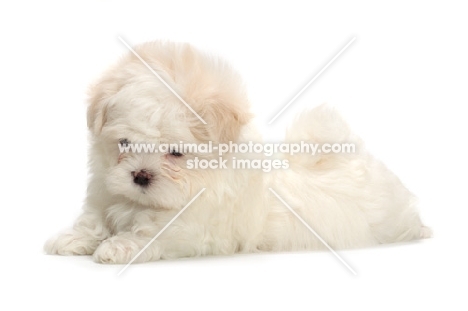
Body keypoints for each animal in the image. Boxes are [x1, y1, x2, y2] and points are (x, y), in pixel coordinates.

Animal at [44, 41, 432, 264]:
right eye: (124, 144)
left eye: (176, 153)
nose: (139, 175)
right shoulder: (104, 191)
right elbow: (94, 218)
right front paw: (75, 238)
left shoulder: (195, 227)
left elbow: (151, 232)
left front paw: (118, 246)